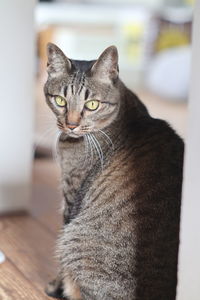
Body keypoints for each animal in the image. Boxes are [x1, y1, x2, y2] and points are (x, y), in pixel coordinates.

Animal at [44, 42, 184, 300]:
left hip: (76, 240)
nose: (71, 124)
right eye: (60, 100)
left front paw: (55, 286)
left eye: (92, 105)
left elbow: (60, 258)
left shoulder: (71, 197)